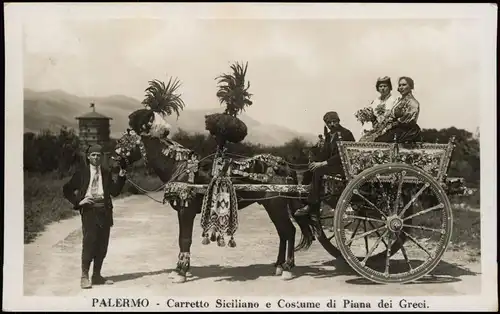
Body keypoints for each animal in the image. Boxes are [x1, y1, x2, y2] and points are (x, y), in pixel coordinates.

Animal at [111, 109, 318, 284]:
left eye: (122, 142)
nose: (113, 164)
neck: (179, 166)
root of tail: (284, 165)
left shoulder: (185, 211)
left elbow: (184, 239)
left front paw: (181, 271)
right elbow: (183, 239)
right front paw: (181, 268)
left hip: (276, 204)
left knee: (289, 231)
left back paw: (287, 268)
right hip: (270, 205)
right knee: (283, 232)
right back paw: (279, 265)